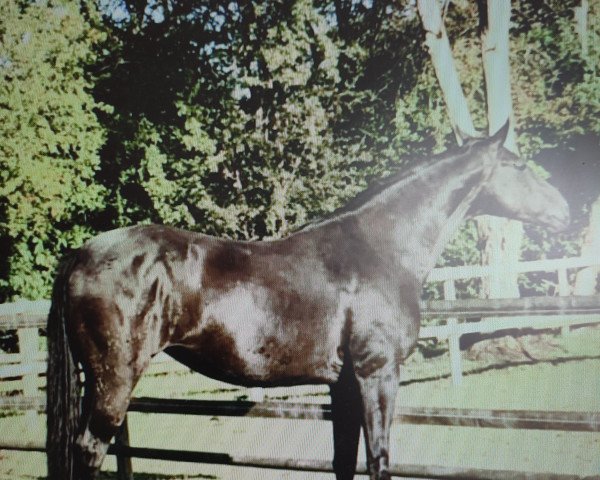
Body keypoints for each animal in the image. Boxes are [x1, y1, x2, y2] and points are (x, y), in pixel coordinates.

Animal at [45, 124, 568, 480]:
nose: (566, 210)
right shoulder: (377, 374)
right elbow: (378, 460)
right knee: (89, 450)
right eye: (518, 165)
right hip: (114, 382)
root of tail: (82, 253)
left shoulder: (344, 385)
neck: (381, 248)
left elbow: (344, 461)